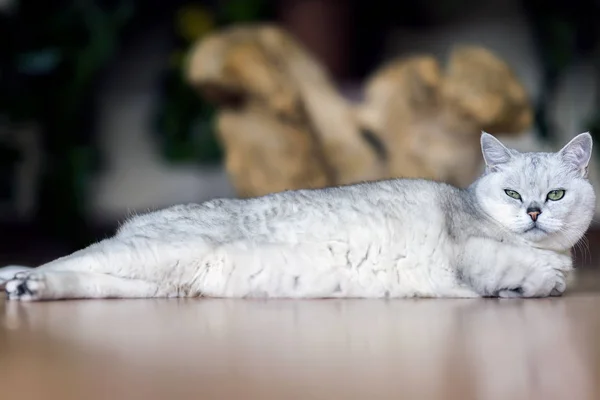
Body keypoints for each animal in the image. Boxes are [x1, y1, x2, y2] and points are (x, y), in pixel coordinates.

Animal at [0, 131, 592, 300]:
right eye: (513, 194)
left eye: (556, 194)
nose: (534, 212)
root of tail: (136, 223)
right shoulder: (469, 254)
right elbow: (535, 277)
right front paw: (530, 281)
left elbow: (550, 278)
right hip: (154, 252)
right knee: (66, 259)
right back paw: (19, 279)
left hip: (160, 284)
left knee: (88, 280)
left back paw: (30, 288)